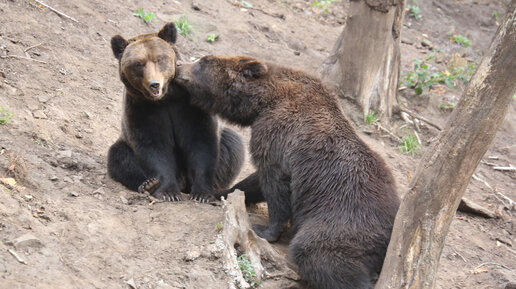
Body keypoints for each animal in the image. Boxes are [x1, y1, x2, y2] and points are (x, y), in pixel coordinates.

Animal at [106, 23, 245, 201]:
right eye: (138, 63)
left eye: (159, 59)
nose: (154, 84)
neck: (166, 97)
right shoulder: (141, 109)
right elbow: (154, 147)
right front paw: (168, 192)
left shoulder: (190, 105)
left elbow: (201, 141)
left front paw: (202, 194)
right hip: (125, 144)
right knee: (119, 156)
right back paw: (147, 184)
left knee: (232, 144)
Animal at [175, 54, 402, 288]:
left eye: (203, 62)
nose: (179, 65)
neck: (263, 102)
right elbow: (255, 182)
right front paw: (220, 192)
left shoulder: (277, 137)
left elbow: (275, 186)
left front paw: (264, 229)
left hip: (344, 221)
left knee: (317, 253)